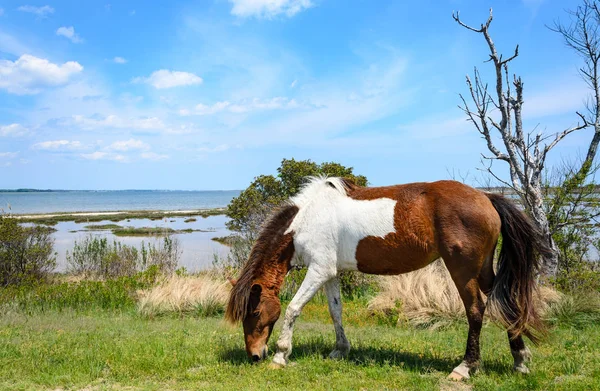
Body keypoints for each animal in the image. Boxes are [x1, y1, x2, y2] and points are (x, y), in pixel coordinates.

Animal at [227, 177, 552, 380]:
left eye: (254, 313)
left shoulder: (318, 270)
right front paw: (340, 350)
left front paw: (281, 356)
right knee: (506, 303)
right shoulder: (330, 272)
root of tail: (486, 196)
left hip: (463, 270)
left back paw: (465, 367)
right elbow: (335, 311)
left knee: (476, 310)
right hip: (483, 270)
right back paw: (520, 361)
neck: (305, 220)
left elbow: (294, 309)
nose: (254, 355)